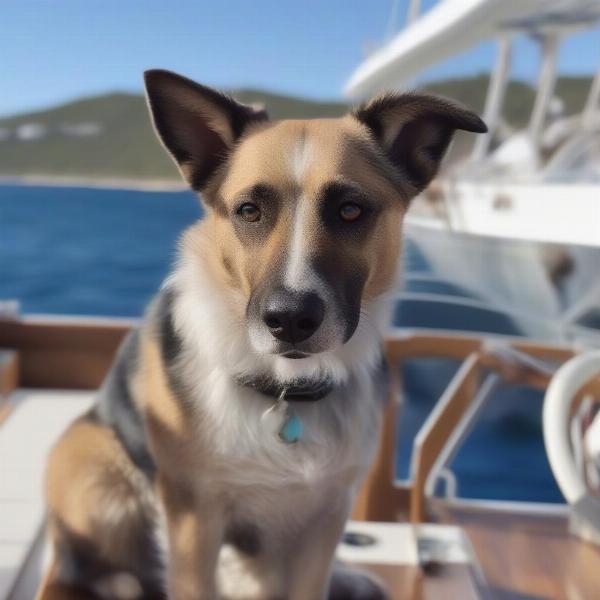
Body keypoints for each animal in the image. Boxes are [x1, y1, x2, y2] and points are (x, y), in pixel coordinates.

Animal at [36, 71, 488, 600]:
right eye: (248, 210)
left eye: (351, 210)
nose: (289, 319)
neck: (286, 388)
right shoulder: (194, 522)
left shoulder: (326, 513)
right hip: (96, 469)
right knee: (98, 565)